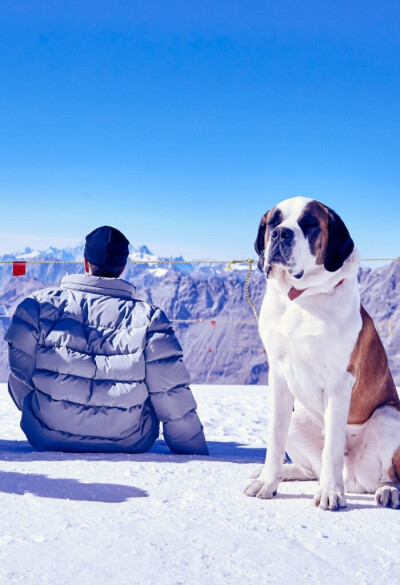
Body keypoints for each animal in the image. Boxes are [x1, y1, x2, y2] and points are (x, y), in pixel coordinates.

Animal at [244, 195, 400, 506]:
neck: (301, 298)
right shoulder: (278, 376)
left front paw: (330, 493)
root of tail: (354, 479)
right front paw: (267, 482)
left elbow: (332, 447)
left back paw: (386, 491)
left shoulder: (340, 381)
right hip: (298, 417)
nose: (281, 233)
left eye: (308, 224)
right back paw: (276, 473)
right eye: (274, 222)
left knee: (390, 474)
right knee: (308, 469)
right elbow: (275, 437)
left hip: (390, 416)